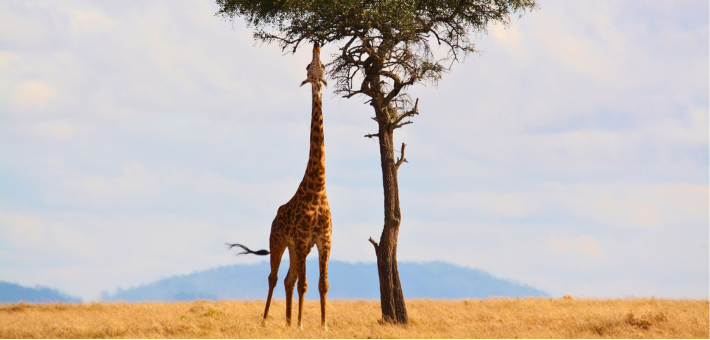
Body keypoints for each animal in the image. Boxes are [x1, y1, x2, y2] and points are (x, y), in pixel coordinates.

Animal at [232, 42, 336, 330]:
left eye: (322, 66)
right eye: (308, 66)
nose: (317, 44)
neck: (318, 188)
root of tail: (274, 217)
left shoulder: (323, 241)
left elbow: (322, 284)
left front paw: (322, 325)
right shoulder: (301, 239)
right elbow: (304, 285)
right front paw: (302, 325)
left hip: (296, 248)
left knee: (289, 279)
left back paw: (288, 322)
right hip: (279, 241)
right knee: (275, 277)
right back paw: (267, 320)